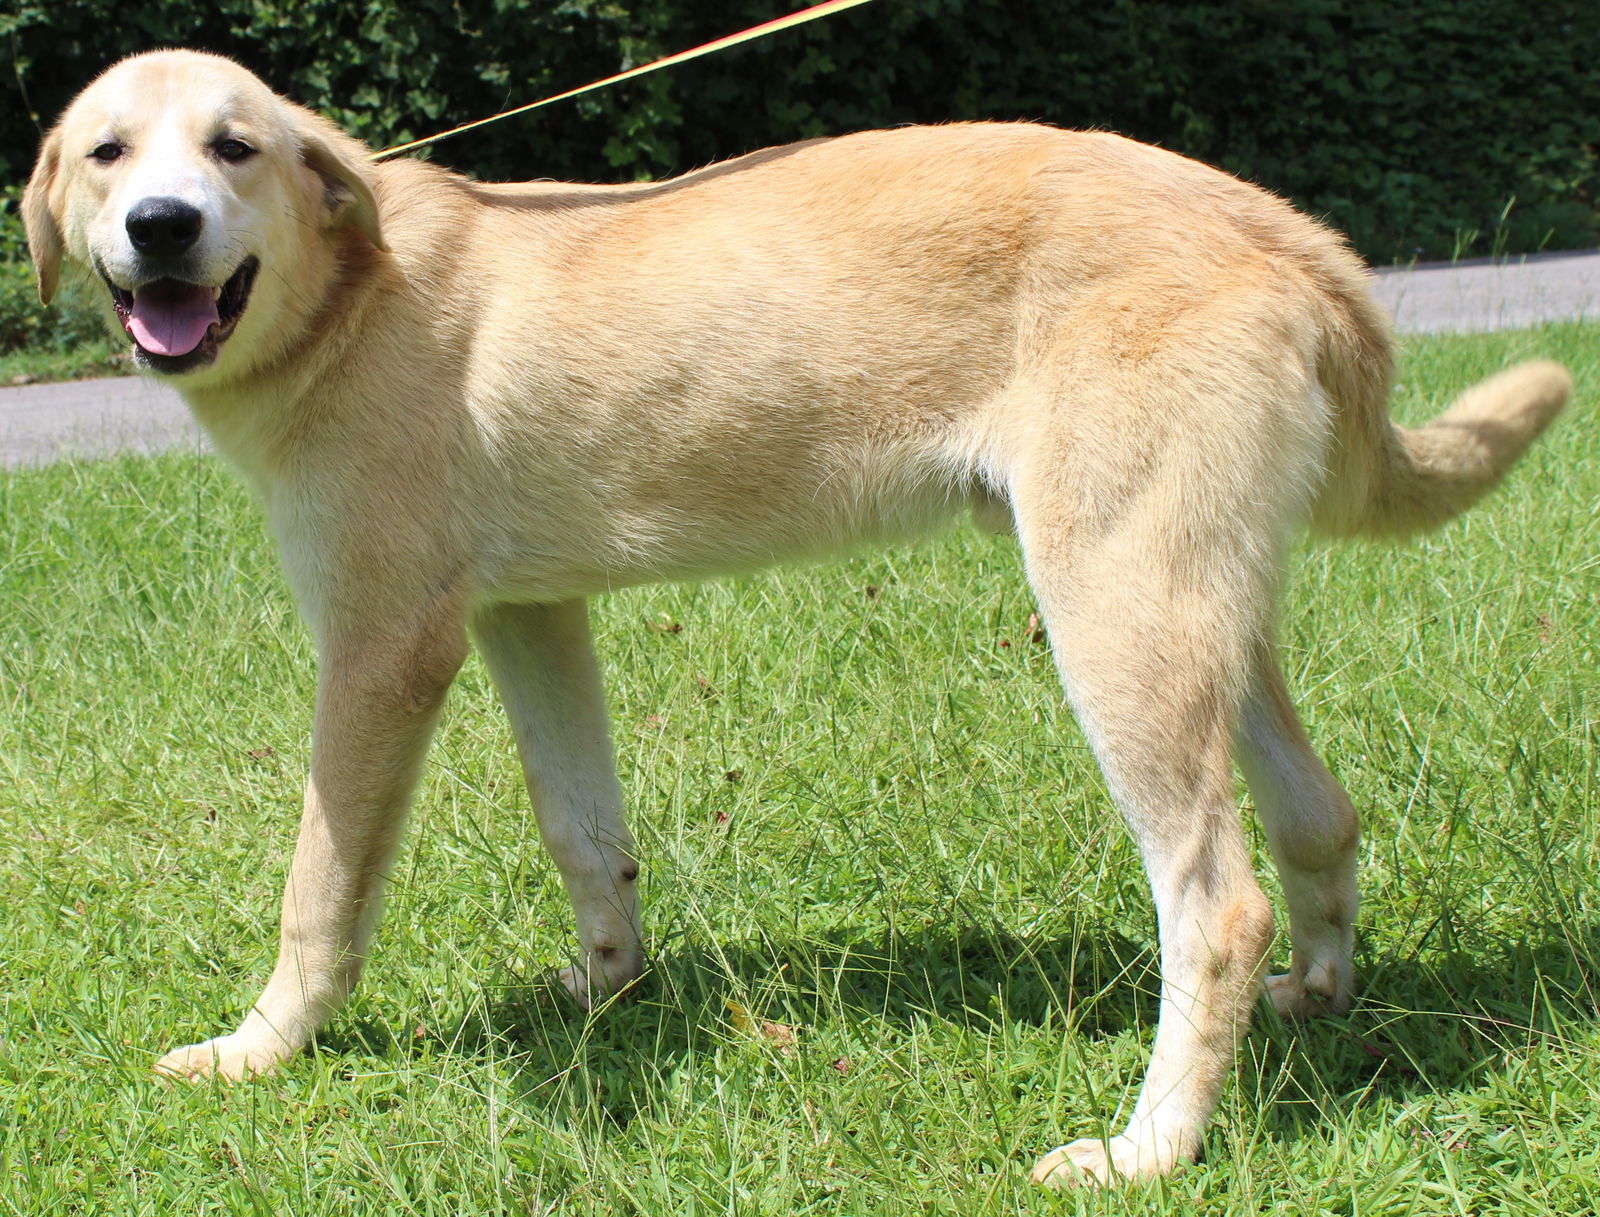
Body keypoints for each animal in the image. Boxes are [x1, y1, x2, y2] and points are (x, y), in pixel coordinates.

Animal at [28, 52, 1574, 1183]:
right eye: (108, 155)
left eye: (233, 148)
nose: (161, 228)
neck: (349, 296)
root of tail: (1296, 239)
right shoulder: (529, 614)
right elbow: (584, 833)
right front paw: (611, 991)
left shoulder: (382, 649)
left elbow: (319, 895)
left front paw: (260, 1048)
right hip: (1199, 611)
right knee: (1320, 818)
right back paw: (1314, 999)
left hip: (1114, 619)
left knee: (1216, 902)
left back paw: (1149, 1147)